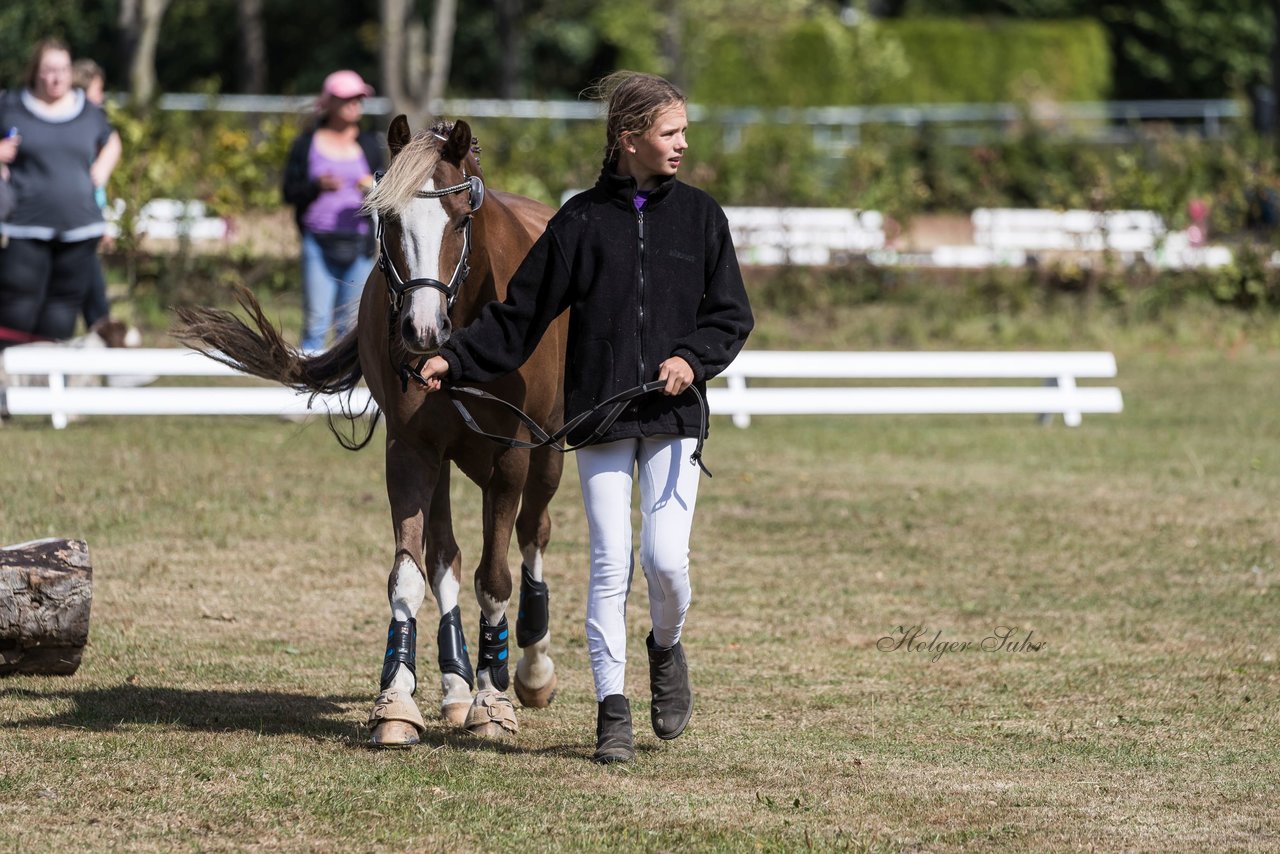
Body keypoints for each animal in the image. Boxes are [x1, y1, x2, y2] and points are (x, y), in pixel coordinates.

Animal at [176, 118, 570, 747]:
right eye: (388, 221)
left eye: (461, 220)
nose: (421, 331)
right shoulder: (410, 450)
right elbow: (410, 575)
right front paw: (400, 700)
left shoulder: (511, 456)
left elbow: (495, 576)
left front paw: (493, 700)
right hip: (442, 458)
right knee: (446, 556)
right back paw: (456, 686)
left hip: (548, 449)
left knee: (535, 533)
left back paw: (529, 670)